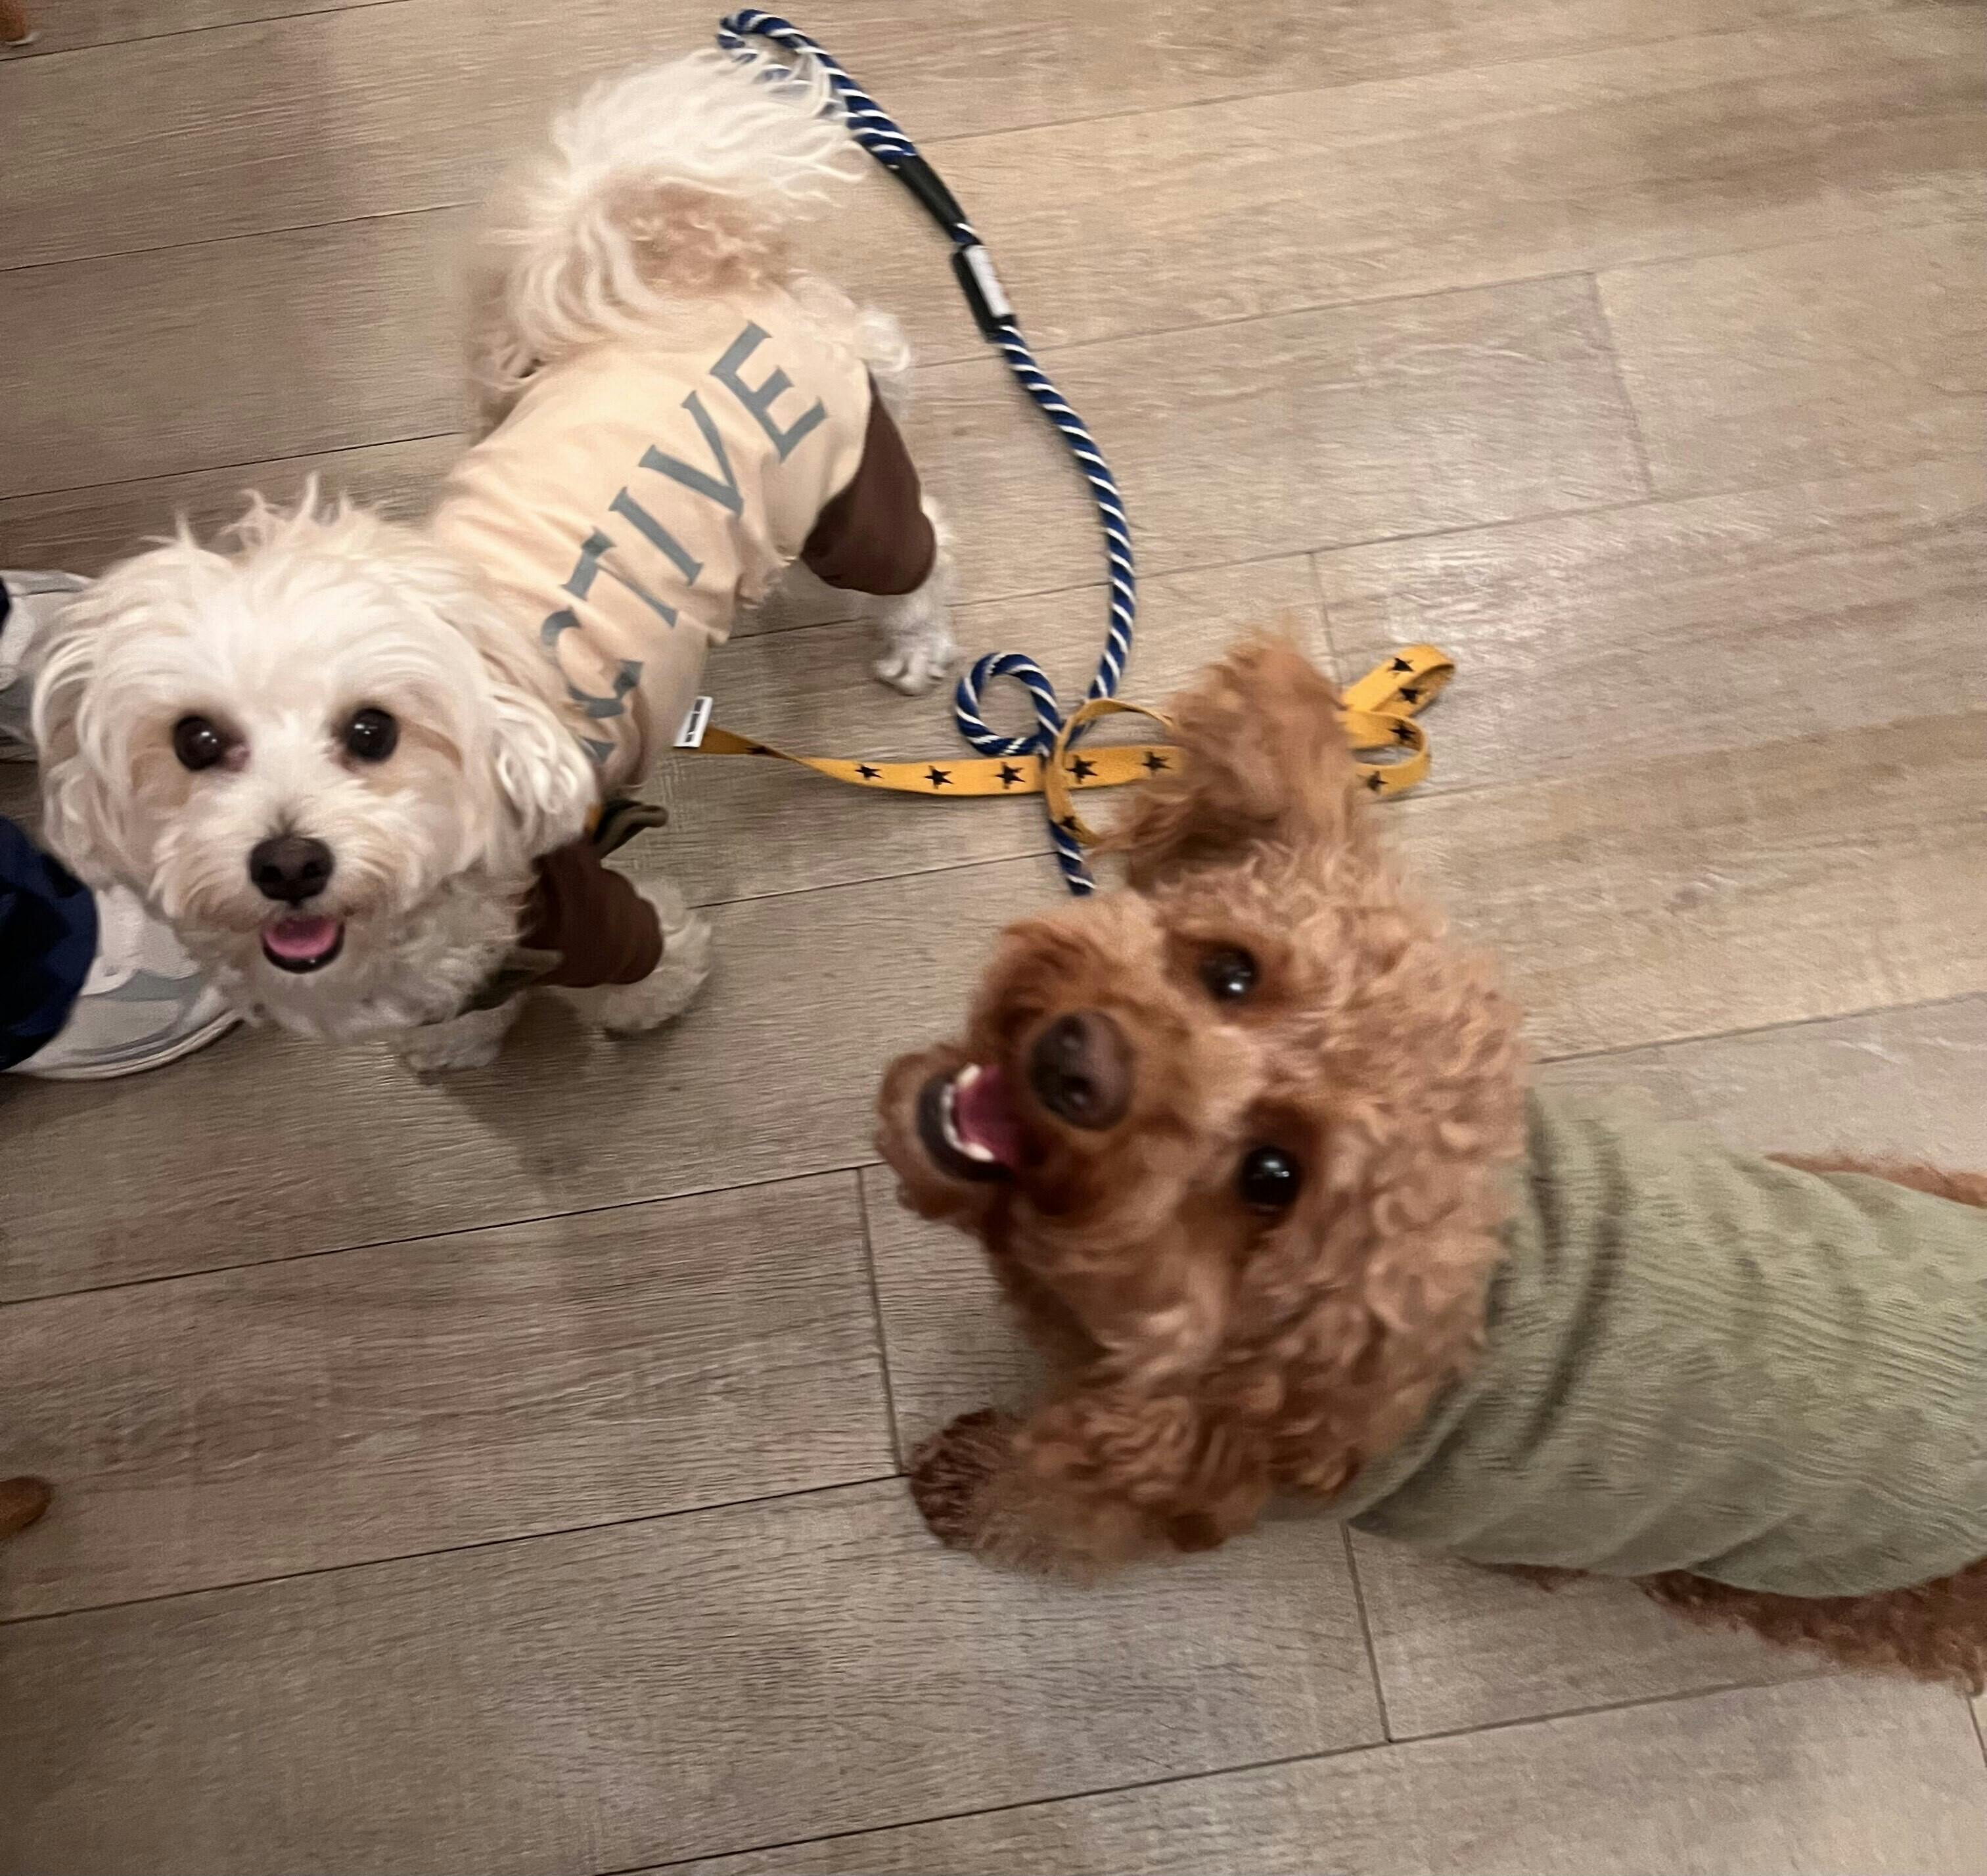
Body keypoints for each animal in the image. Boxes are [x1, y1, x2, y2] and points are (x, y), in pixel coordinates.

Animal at [31, 49, 955, 1070]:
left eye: (373, 732)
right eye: (196, 741)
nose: (288, 862)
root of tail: (701, 274)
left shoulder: (593, 907)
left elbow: (650, 968)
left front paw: (642, 1008)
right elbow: (463, 1009)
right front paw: (459, 1040)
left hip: (846, 494)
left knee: (921, 543)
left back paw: (915, 640)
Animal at [876, 635, 1987, 1689]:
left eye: (1272, 1178)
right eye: (1232, 972)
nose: (1077, 1062)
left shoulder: (1156, 1471)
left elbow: (1050, 1506)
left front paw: (978, 1480)